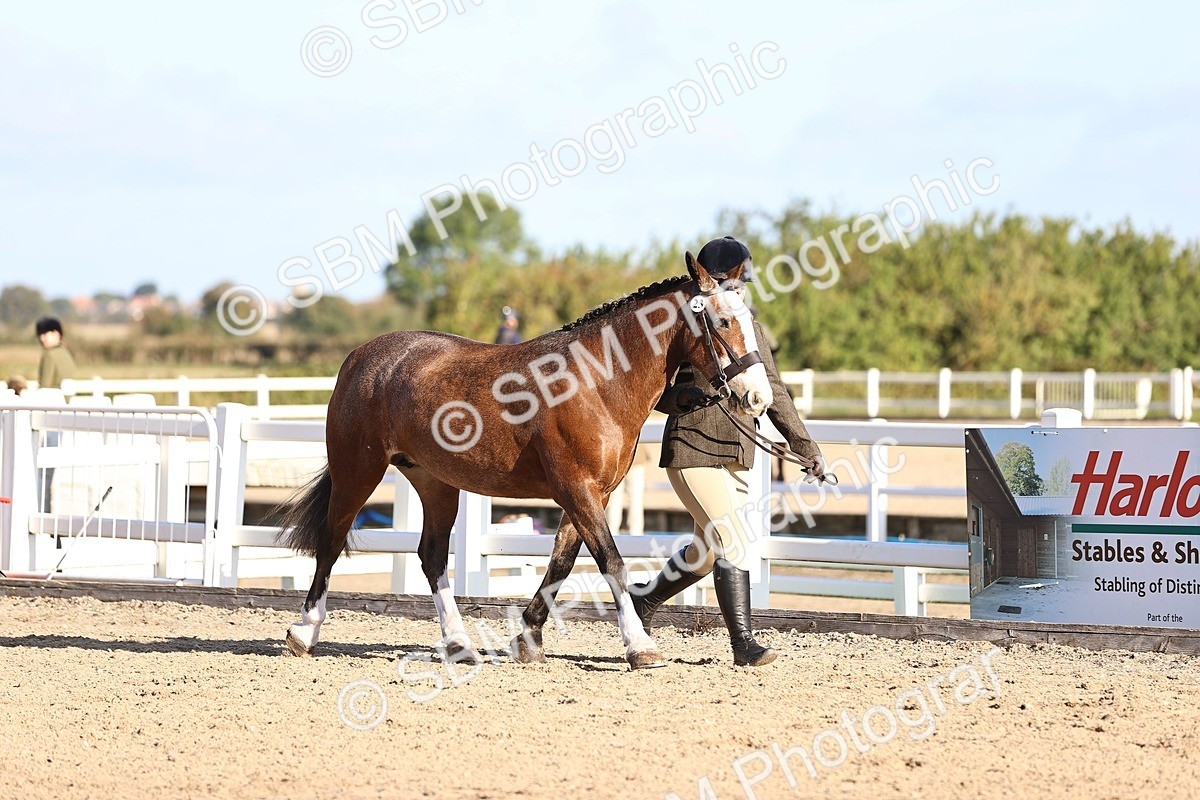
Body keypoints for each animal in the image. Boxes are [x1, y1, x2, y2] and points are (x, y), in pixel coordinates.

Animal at [276, 253, 773, 669]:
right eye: (723, 321)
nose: (758, 398)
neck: (597, 381)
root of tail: (359, 357)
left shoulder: (590, 495)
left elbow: (561, 565)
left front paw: (529, 638)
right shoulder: (577, 489)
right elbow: (611, 561)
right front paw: (640, 646)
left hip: (435, 483)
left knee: (431, 556)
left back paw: (458, 644)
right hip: (357, 472)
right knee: (331, 541)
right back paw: (304, 632)